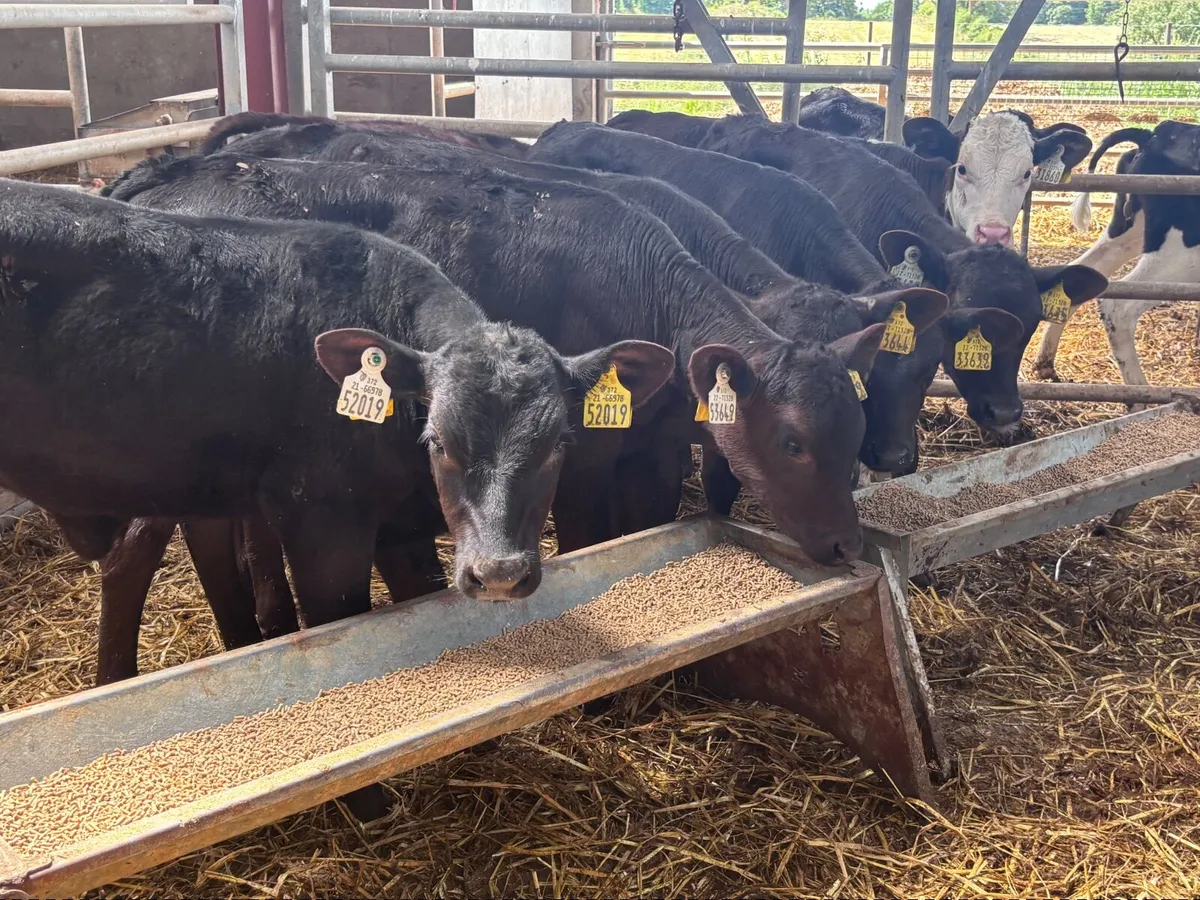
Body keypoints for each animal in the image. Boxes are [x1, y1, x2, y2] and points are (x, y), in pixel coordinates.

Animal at [1033, 120, 1200, 385]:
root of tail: (1151, 135)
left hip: (1127, 232)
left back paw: (1045, 363)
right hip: (1183, 254)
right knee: (1119, 307)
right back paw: (1140, 390)